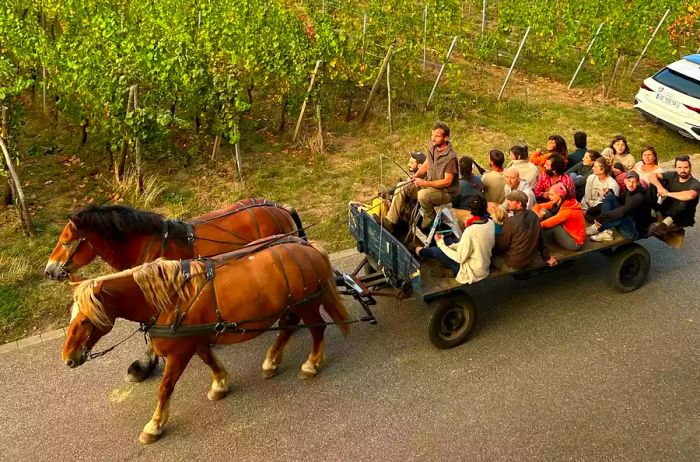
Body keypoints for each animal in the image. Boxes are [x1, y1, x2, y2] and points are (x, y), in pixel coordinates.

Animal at [63, 238, 350, 444]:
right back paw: (271, 362)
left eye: (86, 320)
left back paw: (311, 365)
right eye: (72, 316)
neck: (170, 299)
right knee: (288, 327)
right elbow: (209, 360)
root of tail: (309, 248)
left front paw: (154, 425)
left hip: (308, 304)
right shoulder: (193, 340)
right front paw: (220, 384)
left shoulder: (180, 352)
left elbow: (165, 387)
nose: (67, 359)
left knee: (317, 329)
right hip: (290, 305)